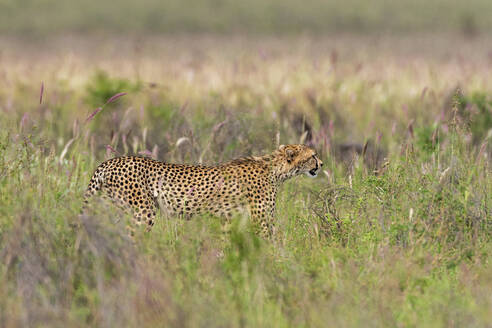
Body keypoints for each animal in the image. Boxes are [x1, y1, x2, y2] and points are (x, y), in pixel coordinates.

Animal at [84, 144, 322, 236]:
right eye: (313, 155)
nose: (322, 164)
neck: (275, 169)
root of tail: (109, 162)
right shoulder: (261, 222)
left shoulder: (228, 220)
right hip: (143, 212)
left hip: (116, 209)